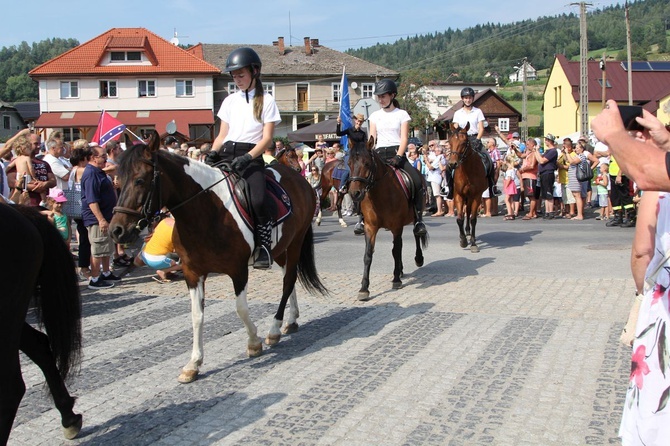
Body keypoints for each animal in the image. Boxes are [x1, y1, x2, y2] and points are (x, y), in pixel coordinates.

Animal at [110, 132, 328, 384]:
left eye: (140, 180)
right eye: (118, 180)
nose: (116, 231)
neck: (206, 211)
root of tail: (299, 180)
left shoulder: (238, 270)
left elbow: (241, 308)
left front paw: (254, 343)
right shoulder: (192, 273)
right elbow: (196, 316)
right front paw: (193, 364)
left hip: (294, 243)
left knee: (288, 280)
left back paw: (274, 330)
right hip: (281, 248)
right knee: (288, 278)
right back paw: (290, 320)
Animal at [346, 137, 430, 300]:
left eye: (367, 163)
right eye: (349, 163)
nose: (355, 193)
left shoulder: (396, 226)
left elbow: (396, 251)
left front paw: (396, 280)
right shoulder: (370, 228)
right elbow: (368, 255)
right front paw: (364, 288)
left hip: (414, 217)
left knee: (416, 234)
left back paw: (418, 259)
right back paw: (401, 270)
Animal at [448, 122, 490, 253]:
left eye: (464, 142)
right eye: (450, 142)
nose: (452, 164)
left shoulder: (476, 195)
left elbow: (473, 219)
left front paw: (473, 243)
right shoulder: (459, 195)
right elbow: (460, 219)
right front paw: (463, 241)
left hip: (471, 197)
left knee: (469, 211)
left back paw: (469, 233)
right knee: (466, 211)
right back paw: (466, 233)